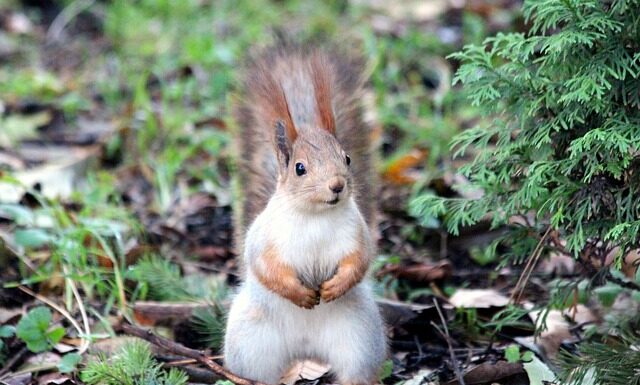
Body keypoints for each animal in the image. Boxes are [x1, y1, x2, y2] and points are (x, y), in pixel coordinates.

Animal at [225, 42, 384, 384]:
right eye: (300, 168)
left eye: (347, 158)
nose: (337, 185)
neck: (315, 216)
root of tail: (306, 351)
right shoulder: (265, 239)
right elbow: (266, 266)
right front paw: (298, 294)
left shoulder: (357, 234)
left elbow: (359, 261)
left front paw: (335, 286)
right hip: (250, 342)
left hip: (360, 340)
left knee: (355, 373)